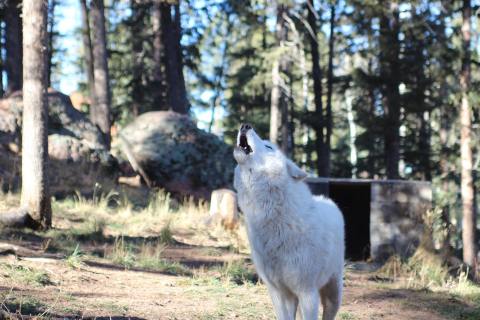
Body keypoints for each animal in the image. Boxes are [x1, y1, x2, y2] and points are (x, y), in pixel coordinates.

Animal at [233, 123, 344, 320]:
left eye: (268, 147)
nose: (245, 125)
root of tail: (328, 201)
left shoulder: (307, 292)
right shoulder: (278, 292)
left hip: (333, 293)